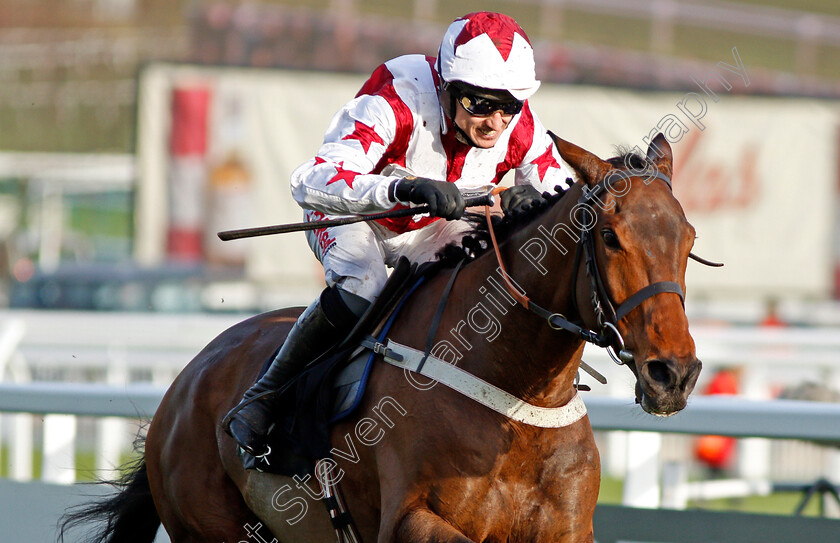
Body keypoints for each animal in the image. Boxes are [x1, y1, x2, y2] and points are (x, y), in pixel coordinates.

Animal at [60, 134, 704, 543]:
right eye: (611, 237)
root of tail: (185, 381)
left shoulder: (566, 528)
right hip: (209, 527)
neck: (515, 399)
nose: (673, 373)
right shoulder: (408, 519)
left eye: (689, 235)